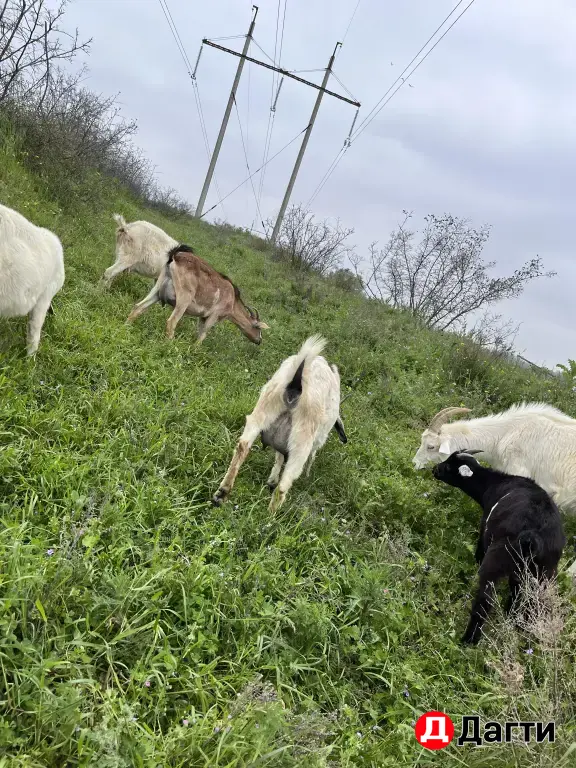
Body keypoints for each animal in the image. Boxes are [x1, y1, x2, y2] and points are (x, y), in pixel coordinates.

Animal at [126, 244, 268, 344]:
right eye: (258, 328)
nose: (259, 341)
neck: (232, 300)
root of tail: (175, 256)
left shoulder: (203, 316)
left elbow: (199, 331)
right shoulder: (214, 316)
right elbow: (203, 334)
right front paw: (195, 349)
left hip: (156, 289)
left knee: (138, 307)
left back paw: (126, 326)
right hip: (184, 299)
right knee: (172, 321)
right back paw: (171, 344)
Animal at [212, 335, 348, 512]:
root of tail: (297, 383)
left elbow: (278, 456)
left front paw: (271, 480)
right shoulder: (315, 442)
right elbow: (308, 457)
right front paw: (305, 475)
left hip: (262, 412)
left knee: (243, 447)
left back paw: (222, 493)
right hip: (301, 440)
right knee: (284, 485)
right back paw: (270, 516)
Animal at [433, 450, 565, 644]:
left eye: (449, 466)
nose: (434, 470)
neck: (494, 483)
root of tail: (533, 536)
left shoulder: (484, 527)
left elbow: (479, 550)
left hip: (497, 560)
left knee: (485, 600)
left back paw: (469, 639)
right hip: (543, 574)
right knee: (530, 601)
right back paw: (518, 625)